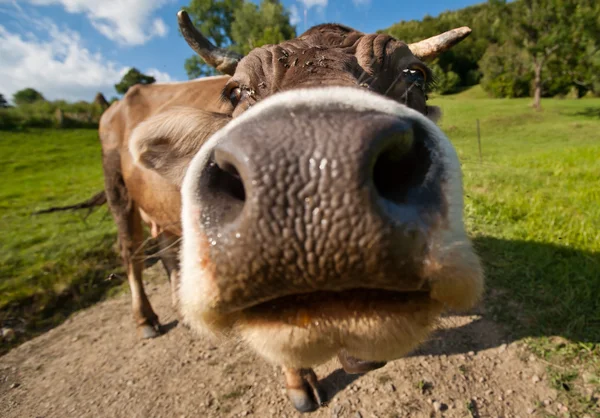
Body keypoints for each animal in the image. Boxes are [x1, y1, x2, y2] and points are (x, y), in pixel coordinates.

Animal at [105, 11, 486, 414]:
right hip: (118, 193)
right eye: (235, 92)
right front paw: (298, 382)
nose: (318, 169)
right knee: (130, 254)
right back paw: (146, 319)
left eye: (415, 76)